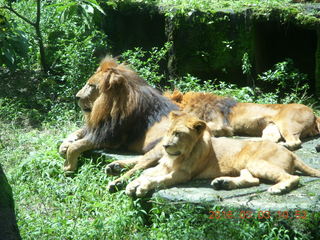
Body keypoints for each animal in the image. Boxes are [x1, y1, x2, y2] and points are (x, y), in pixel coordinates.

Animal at [108, 111, 320, 196]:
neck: (177, 157)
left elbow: (156, 180)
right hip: (248, 166)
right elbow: (143, 174)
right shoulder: (161, 167)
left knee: (292, 178)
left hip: (258, 163)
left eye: (178, 134)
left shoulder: (182, 175)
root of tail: (292, 154)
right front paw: (130, 184)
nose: (165, 146)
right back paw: (222, 183)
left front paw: (142, 187)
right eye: (168, 132)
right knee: (253, 180)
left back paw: (278, 189)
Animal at [165, 90, 320, 150]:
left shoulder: (221, 125)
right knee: (270, 139)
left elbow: (206, 126)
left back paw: (285, 146)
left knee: (294, 142)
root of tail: (314, 114)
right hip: (271, 126)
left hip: (287, 124)